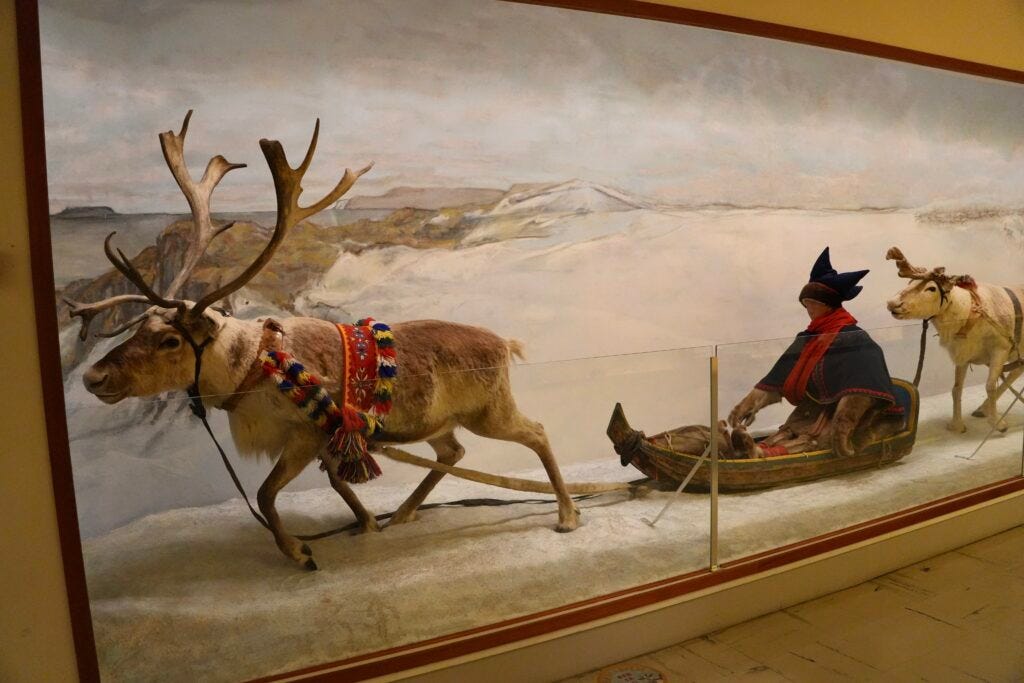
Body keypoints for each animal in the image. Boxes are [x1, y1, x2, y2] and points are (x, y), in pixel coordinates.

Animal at [68, 112, 581, 570]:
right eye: (139, 328)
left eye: (171, 340)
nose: (94, 376)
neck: (252, 364)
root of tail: (505, 343)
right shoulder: (327, 439)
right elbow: (336, 483)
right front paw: (368, 523)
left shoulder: (305, 434)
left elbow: (265, 493)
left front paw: (299, 552)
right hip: (441, 422)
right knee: (453, 453)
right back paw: (406, 513)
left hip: (490, 410)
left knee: (536, 432)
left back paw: (567, 514)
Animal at [885, 247, 1024, 434]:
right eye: (909, 283)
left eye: (931, 288)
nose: (892, 303)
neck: (968, 312)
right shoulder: (962, 355)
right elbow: (956, 389)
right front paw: (957, 425)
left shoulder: (1000, 349)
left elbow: (990, 386)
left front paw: (998, 424)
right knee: (1016, 371)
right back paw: (982, 409)